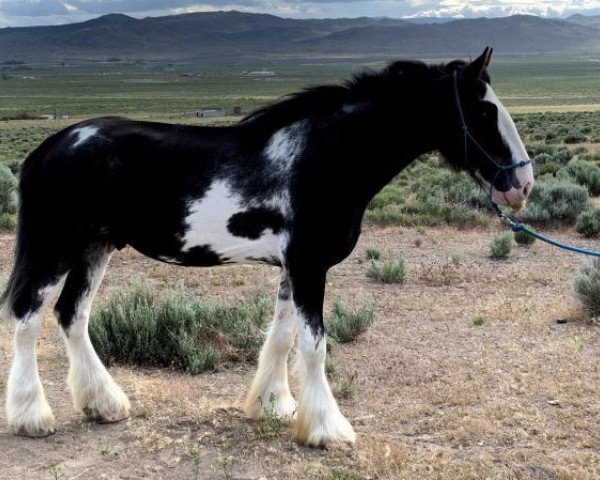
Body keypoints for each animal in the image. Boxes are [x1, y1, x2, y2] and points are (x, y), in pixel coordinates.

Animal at [0, 47, 536, 446]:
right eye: (483, 110)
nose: (523, 184)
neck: (326, 156)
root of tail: (51, 146)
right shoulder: (309, 266)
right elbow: (314, 345)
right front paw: (327, 429)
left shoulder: (291, 268)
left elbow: (281, 337)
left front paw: (273, 405)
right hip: (55, 248)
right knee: (28, 317)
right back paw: (31, 417)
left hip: (97, 247)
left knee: (72, 314)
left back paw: (103, 404)